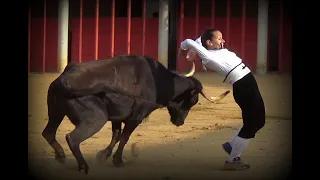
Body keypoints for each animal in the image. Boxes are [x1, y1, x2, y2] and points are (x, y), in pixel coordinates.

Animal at [42, 55, 230, 174]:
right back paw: (83, 167)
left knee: (48, 133)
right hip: (95, 119)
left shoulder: (117, 116)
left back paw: (61, 156)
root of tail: (64, 81)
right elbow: (124, 137)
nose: (180, 123)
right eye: (193, 101)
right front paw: (118, 161)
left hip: (56, 113)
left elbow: (116, 135)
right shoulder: (135, 117)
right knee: (72, 138)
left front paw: (103, 155)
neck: (158, 81)